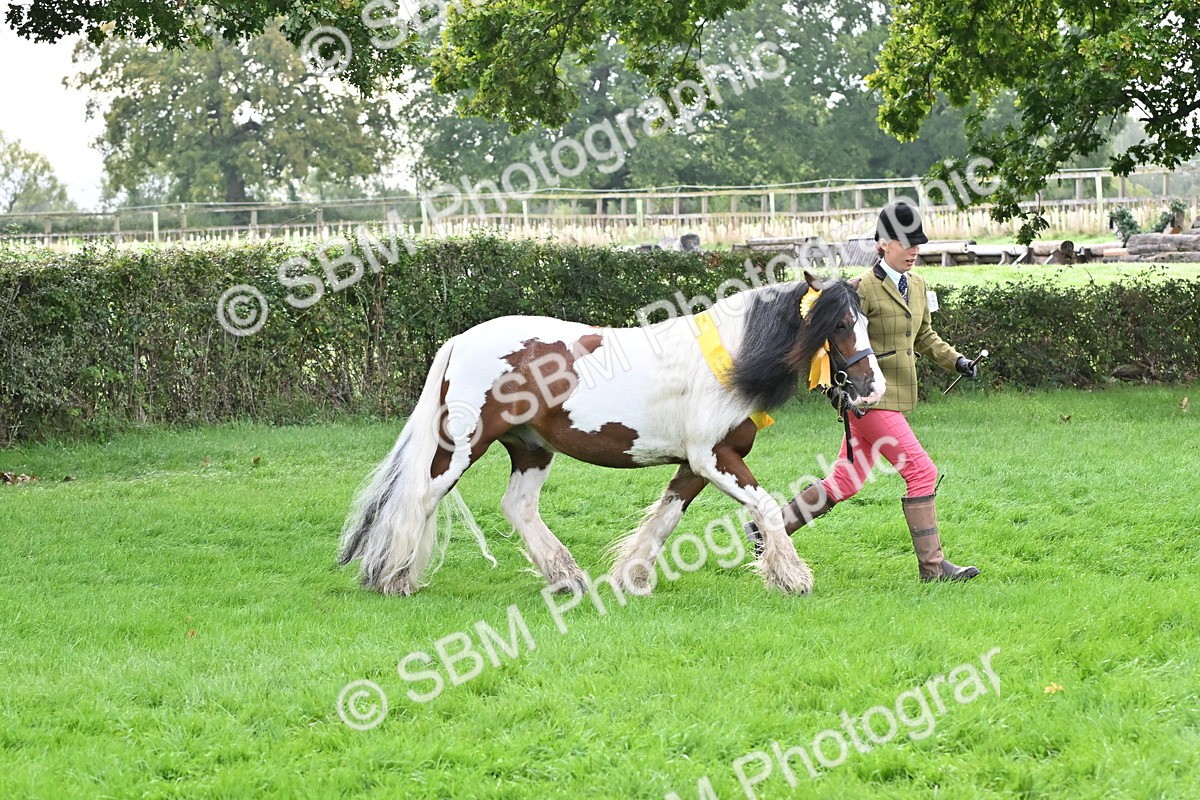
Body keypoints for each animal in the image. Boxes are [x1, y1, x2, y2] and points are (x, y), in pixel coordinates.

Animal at [338, 270, 885, 597]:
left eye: (864, 320)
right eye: (839, 325)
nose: (872, 388)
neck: (729, 360)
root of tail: (460, 340)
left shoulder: (696, 465)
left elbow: (664, 519)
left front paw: (630, 576)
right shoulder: (712, 458)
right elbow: (766, 506)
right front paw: (792, 576)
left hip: (531, 448)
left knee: (518, 507)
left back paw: (567, 578)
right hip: (462, 447)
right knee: (420, 499)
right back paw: (395, 578)